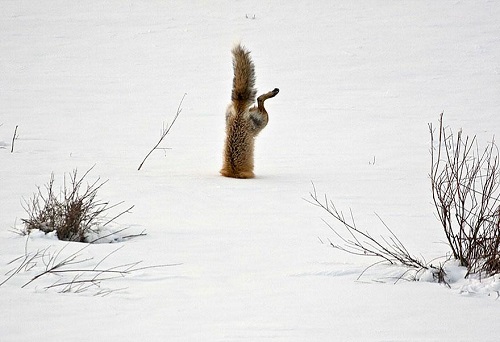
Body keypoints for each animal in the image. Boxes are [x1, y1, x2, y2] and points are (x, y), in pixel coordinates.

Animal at [221, 44, 280, 179]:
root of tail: (239, 109)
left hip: (261, 121)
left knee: (260, 99)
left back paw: (273, 92)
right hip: (262, 122)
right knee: (259, 99)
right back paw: (273, 92)